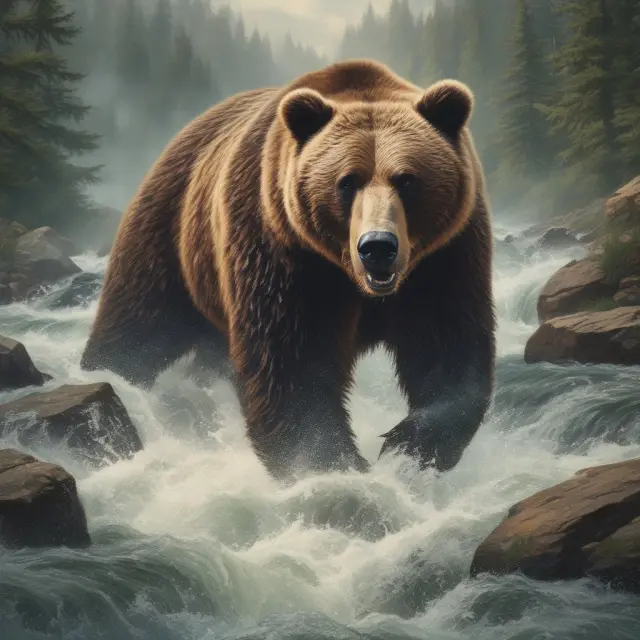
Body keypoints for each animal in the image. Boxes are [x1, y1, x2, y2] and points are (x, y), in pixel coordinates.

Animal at [81, 59, 496, 481]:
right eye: (347, 182)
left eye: (407, 180)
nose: (377, 247)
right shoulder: (282, 248)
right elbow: (291, 362)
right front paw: (327, 464)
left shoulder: (445, 255)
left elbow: (446, 344)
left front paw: (406, 447)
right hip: (171, 235)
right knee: (137, 324)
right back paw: (105, 375)